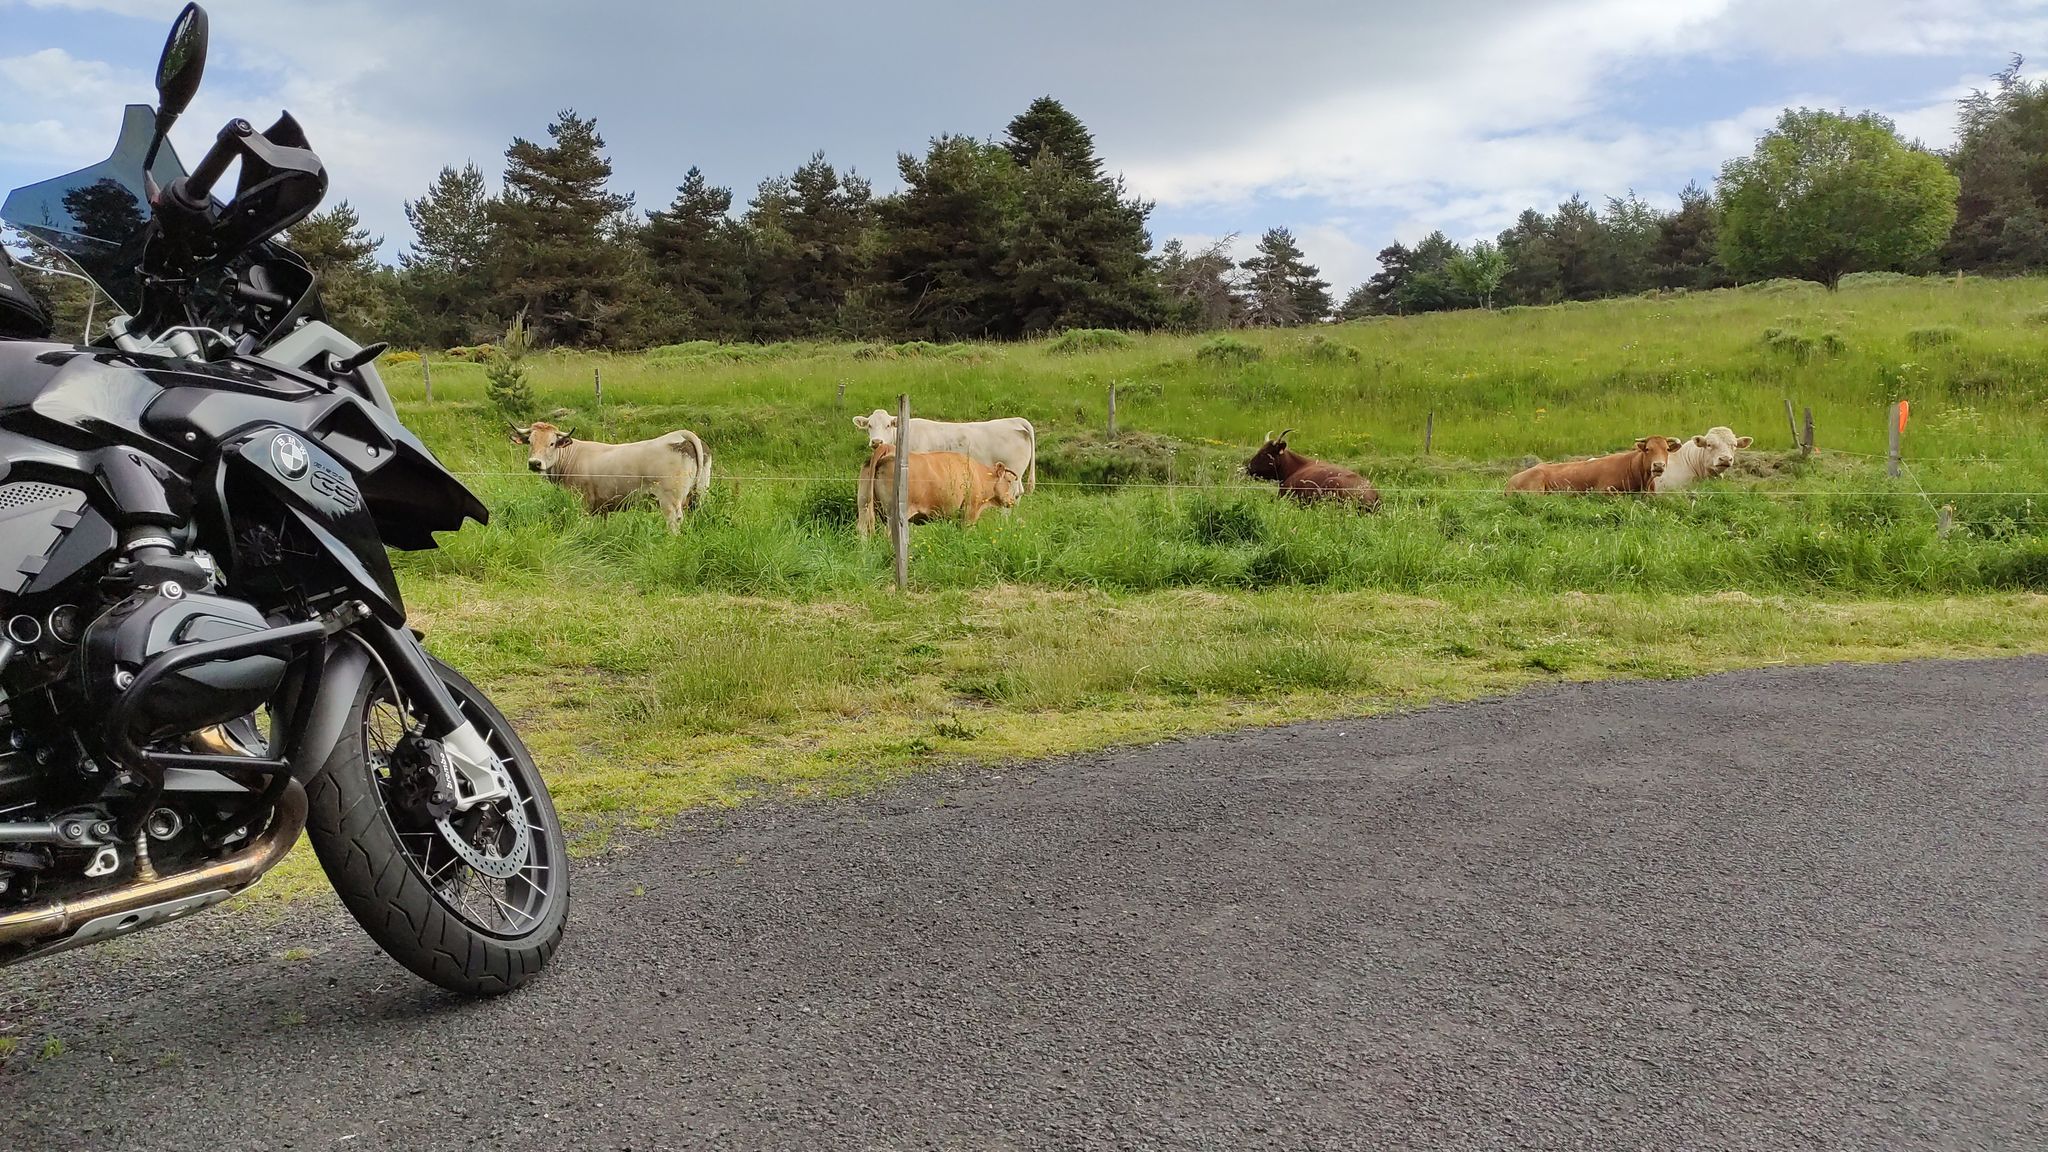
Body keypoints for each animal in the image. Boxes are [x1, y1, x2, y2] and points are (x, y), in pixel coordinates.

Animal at [509, 420, 712, 532]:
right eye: (530, 442)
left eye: (552, 443)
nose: (534, 463)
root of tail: (680, 435)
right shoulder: (602, 507)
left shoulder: (582, 503)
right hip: (698, 495)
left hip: (670, 500)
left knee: (674, 521)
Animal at [856, 444, 1021, 538]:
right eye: (1009, 481)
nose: (1013, 500)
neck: (978, 474)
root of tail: (887, 447)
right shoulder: (970, 511)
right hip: (894, 513)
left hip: (863, 504)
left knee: (862, 530)